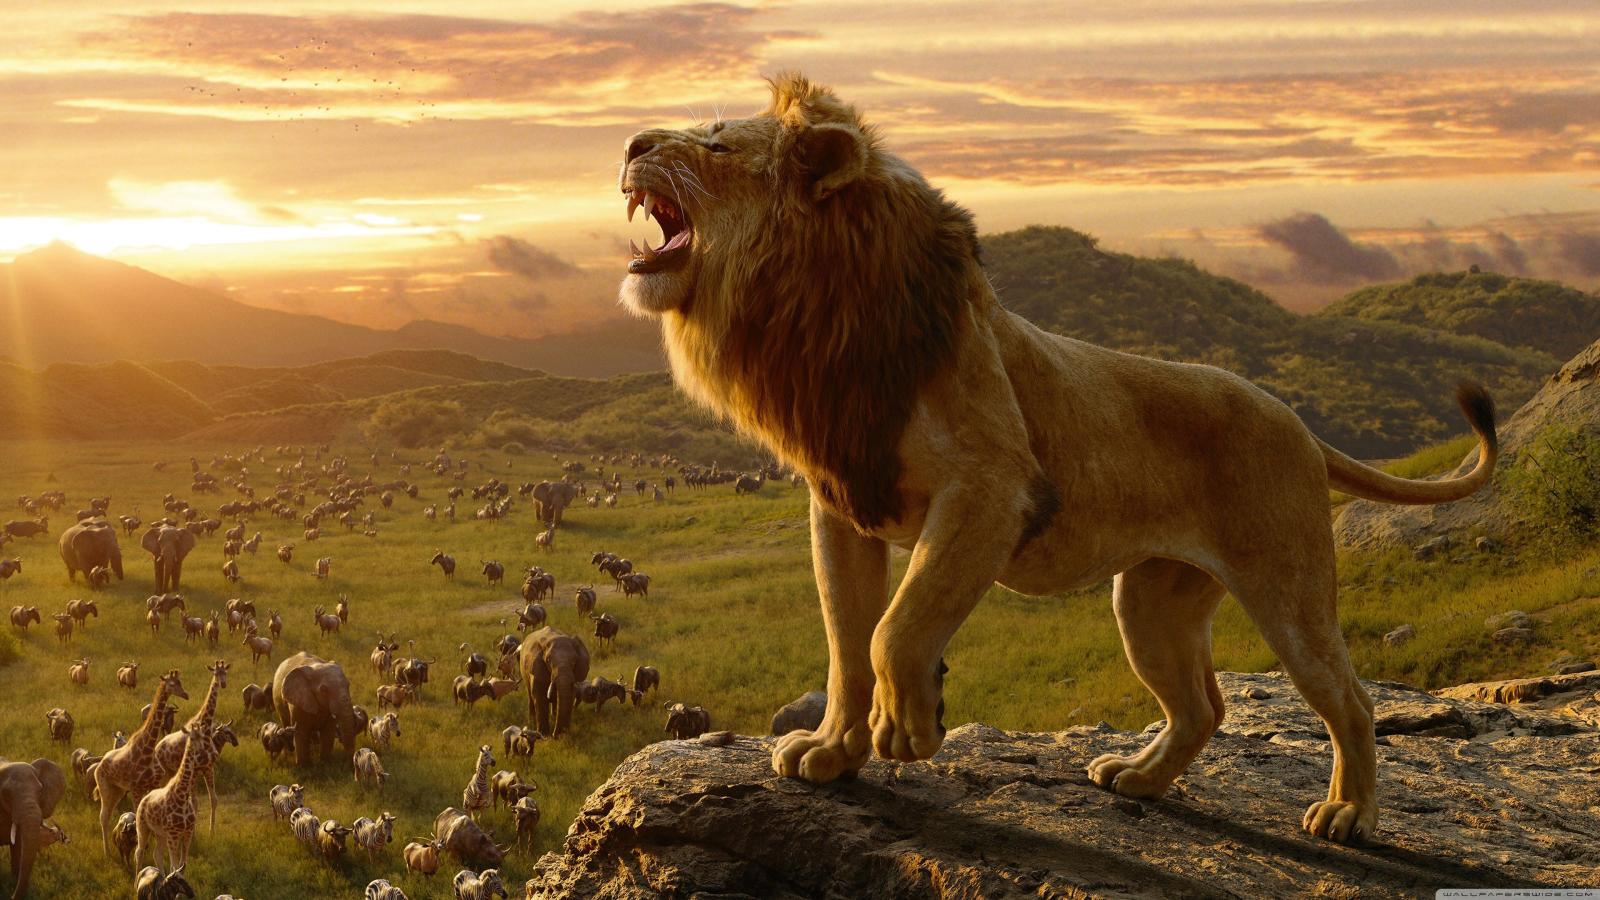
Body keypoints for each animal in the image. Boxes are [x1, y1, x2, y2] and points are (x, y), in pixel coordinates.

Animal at [615, 73, 1497, 846]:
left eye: (716, 144)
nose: (629, 143)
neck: (812, 317)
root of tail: (1300, 424)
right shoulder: (841, 503)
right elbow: (844, 643)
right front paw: (832, 753)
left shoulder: (993, 487)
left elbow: (894, 629)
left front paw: (910, 729)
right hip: (1151, 603)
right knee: (1203, 707)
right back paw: (1137, 779)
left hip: (1288, 590)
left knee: (1349, 699)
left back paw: (1348, 814)